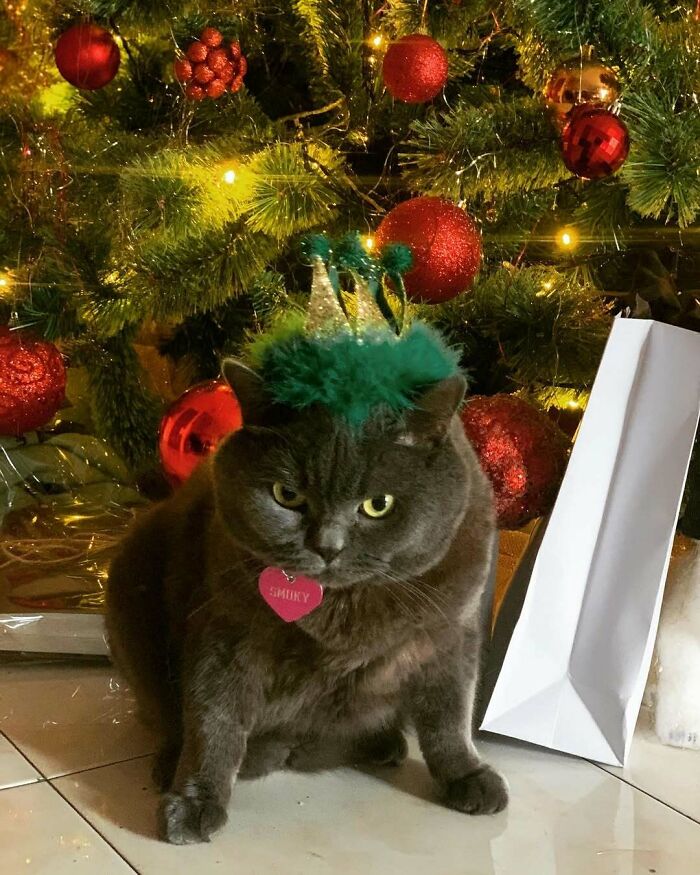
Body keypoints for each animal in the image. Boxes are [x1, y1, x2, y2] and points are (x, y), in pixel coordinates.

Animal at [106, 360, 506, 844]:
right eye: (287, 495)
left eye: (378, 504)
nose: (327, 546)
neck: (341, 612)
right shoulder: (225, 635)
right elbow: (212, 719)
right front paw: (193, 801)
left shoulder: (450, 634)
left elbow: (451, 714)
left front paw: (467, 774)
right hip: (131, 581)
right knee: (164, 713)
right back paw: (171, 765)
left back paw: (382, 743)